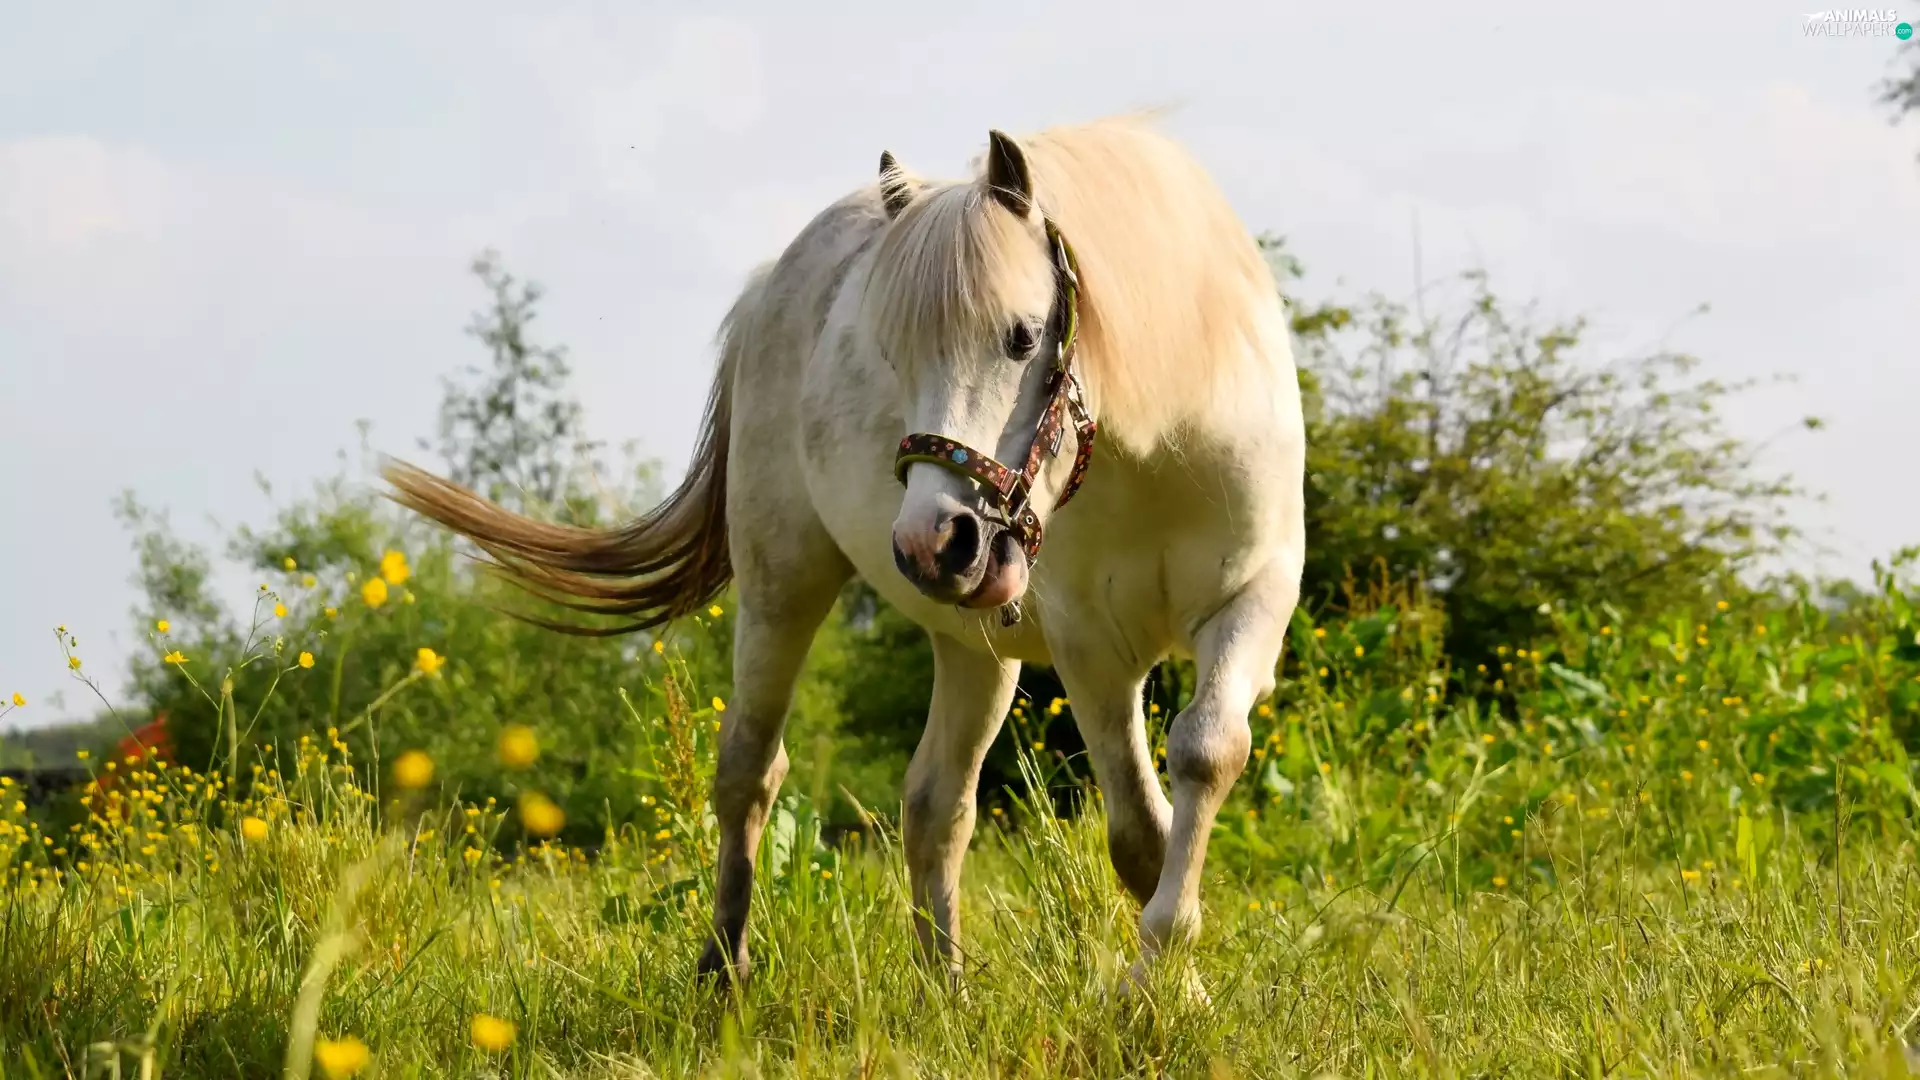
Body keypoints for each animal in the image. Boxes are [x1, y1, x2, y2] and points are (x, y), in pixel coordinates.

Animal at [383, 115, 1306, 991]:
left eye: (1020, 336)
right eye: (892, 353)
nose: (937, 542)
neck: (1160, 444)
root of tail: (770, 287)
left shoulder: (1254, 602)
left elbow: (1205, 754)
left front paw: (1171, 984)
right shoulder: (1092, 648)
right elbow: (1140, 836)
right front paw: (1160, 993)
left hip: (975, 647)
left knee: (936, 804)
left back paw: (945, 990)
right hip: (783, 586)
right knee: (751, 770)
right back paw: (725, 969)